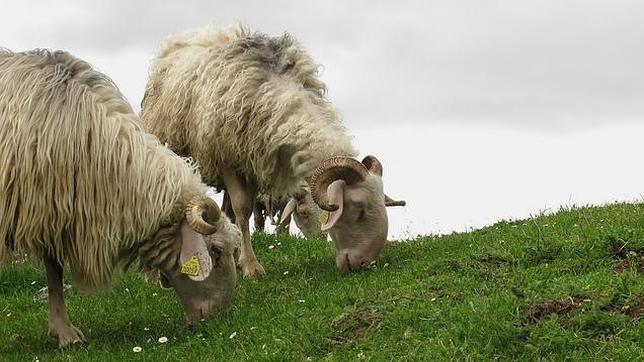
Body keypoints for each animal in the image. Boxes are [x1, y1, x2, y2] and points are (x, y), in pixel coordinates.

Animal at [142, 24, 406, 276]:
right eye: (359, 209)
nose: (364, 263)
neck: (283, 97)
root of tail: (196, 33)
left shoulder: (254, 161)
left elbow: (241, 212)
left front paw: (241, 260)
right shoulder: (228, 158)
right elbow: (243, 208)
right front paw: (251, 266)